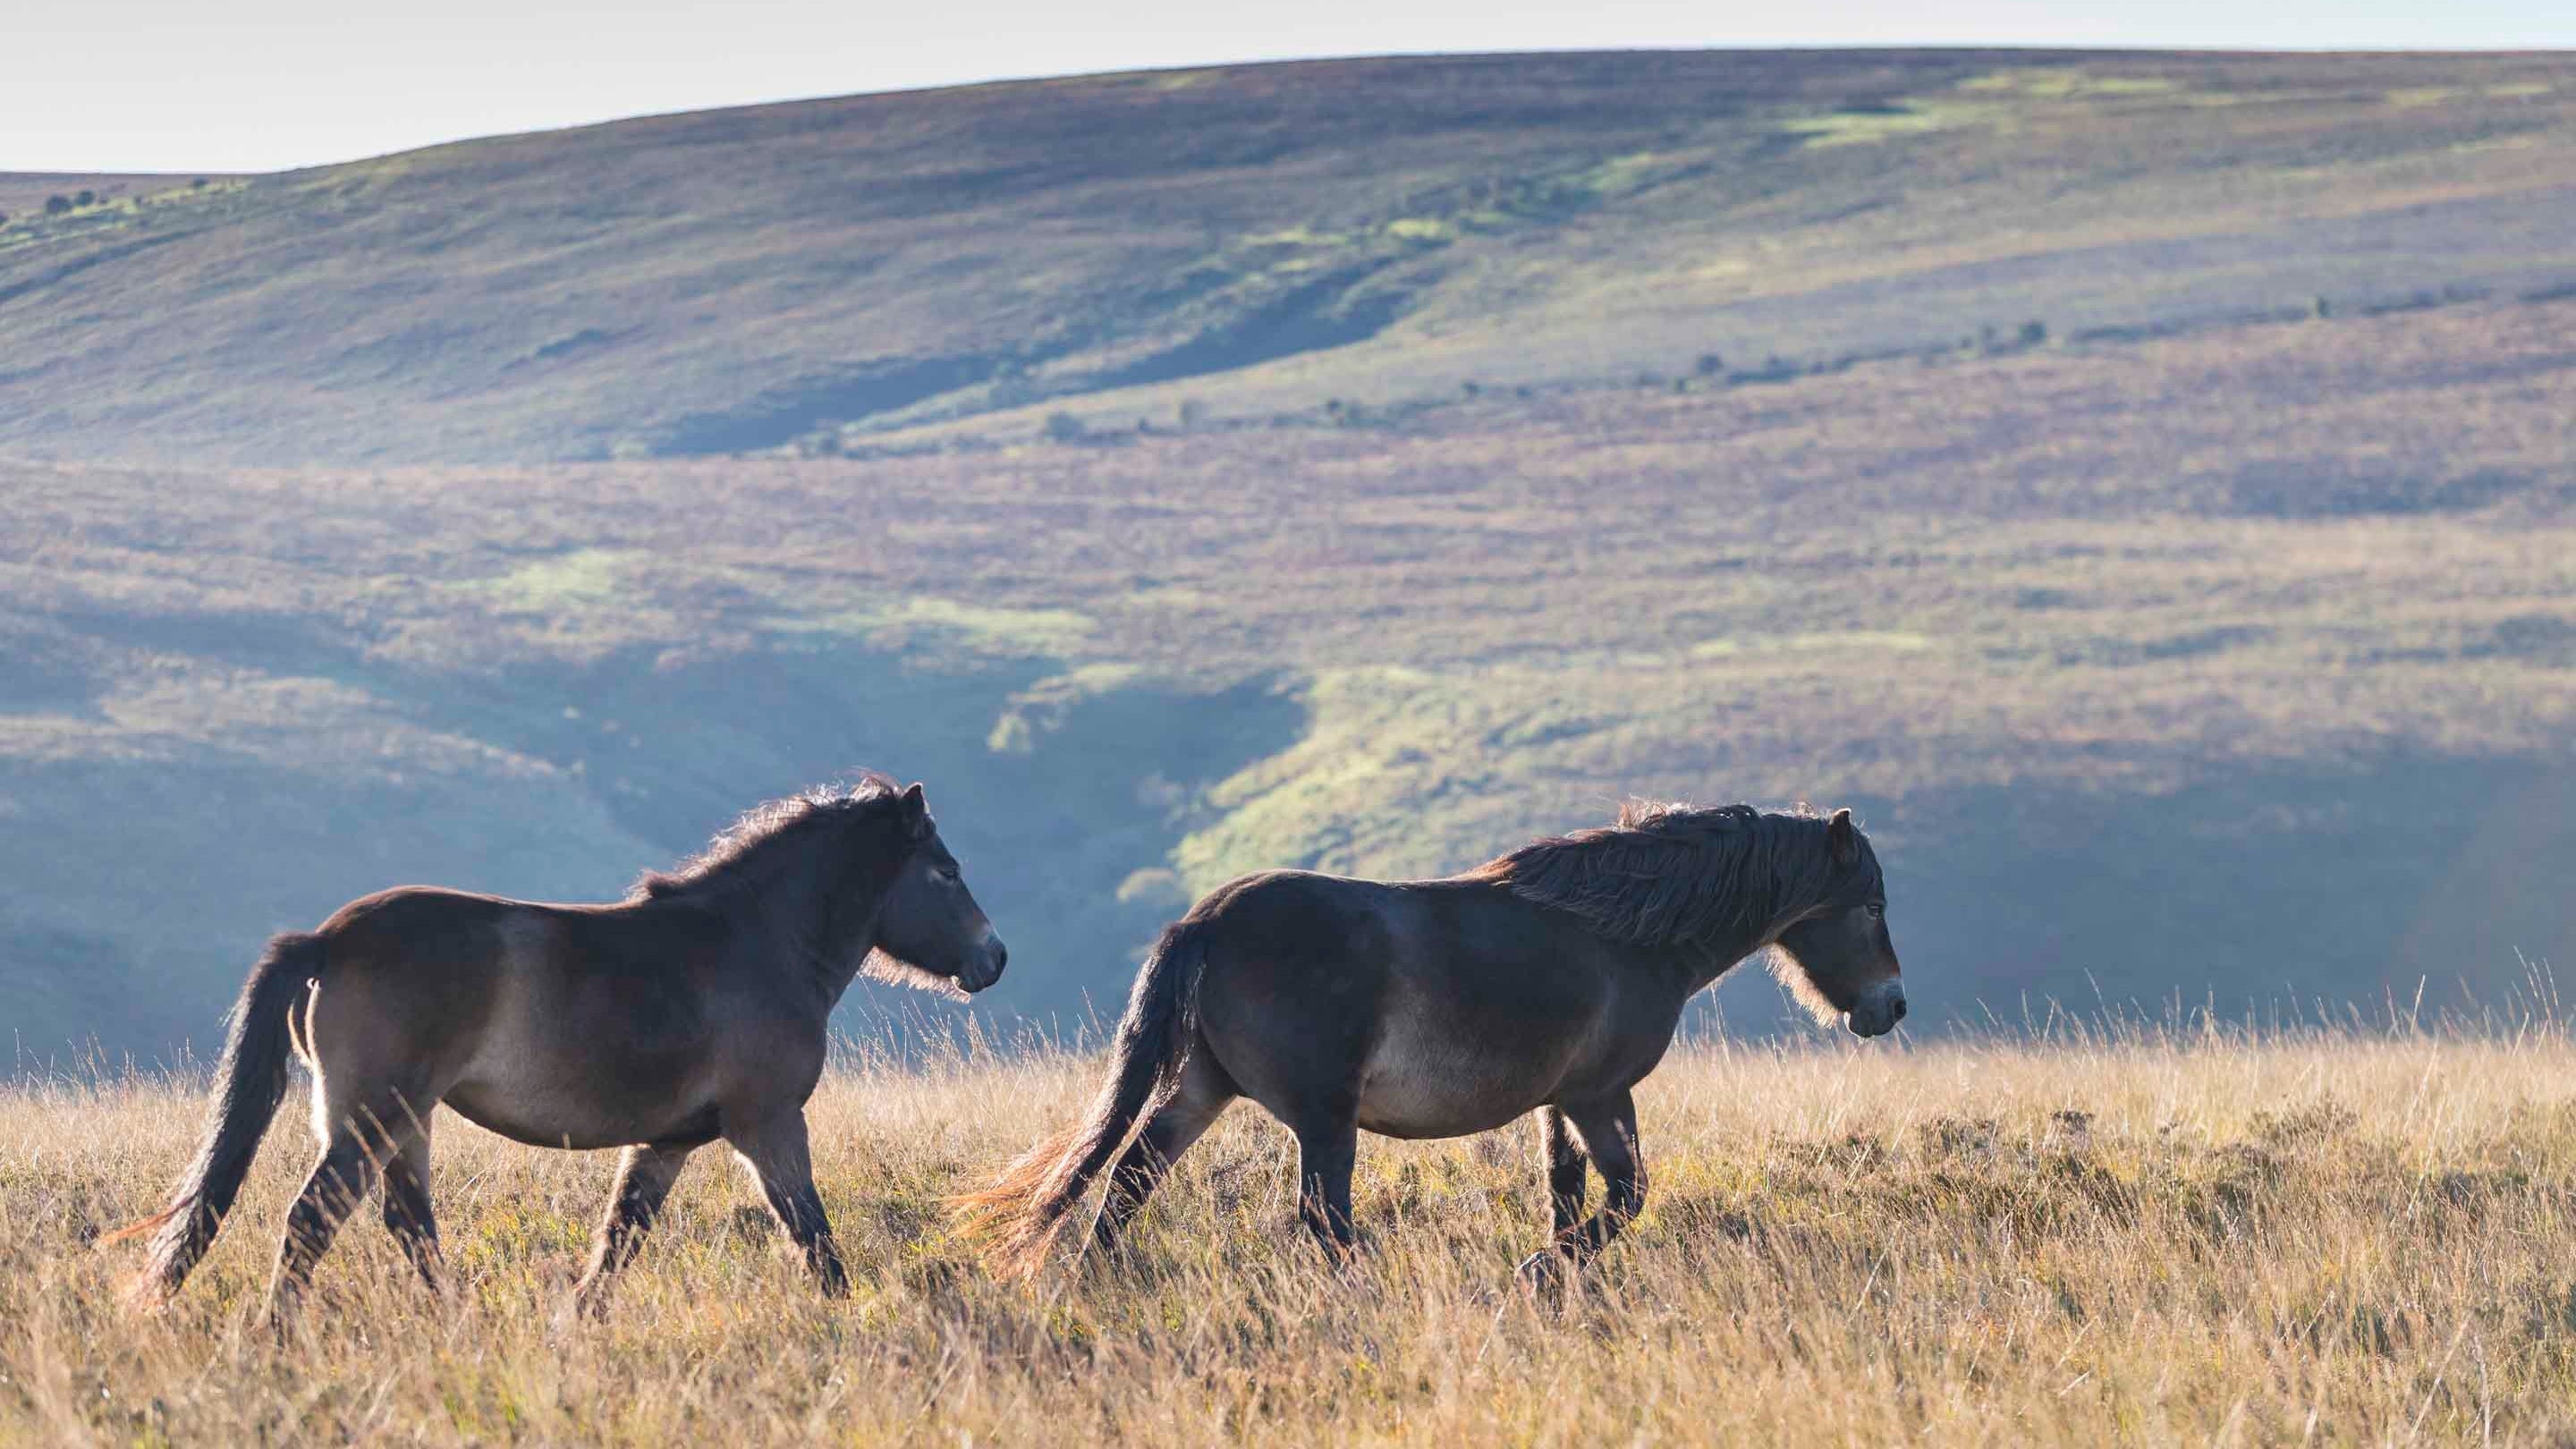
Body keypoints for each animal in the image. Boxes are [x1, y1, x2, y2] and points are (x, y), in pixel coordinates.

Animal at [110, 775, 1006, 1320]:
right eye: (947, 871)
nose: (993, 958)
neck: (753, 943)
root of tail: (326, 941)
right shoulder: (770, 1124)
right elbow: (812, 1235)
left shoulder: (665, 1143)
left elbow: (620, 1239)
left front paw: (575, 1321)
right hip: (369, 1122)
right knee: (313, 1220)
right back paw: (277, 1332)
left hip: (405, 1122)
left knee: (408, 1225)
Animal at [954, 801, 1901, 1283]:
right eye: (1873, 906)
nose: (1889, 1007)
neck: (1625, 935)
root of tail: (1204, 923)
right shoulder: (1601, 1094)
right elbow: (1625, 1198)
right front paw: (1538, 1273)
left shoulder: (1558, 1103)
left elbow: (1565, 1196)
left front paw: (1559, 1279)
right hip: (1323, 1118)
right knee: (1320, 1216)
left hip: (1200, 1090)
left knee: (1125, 1184)